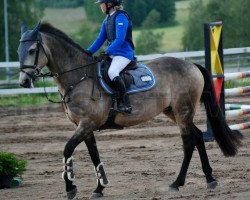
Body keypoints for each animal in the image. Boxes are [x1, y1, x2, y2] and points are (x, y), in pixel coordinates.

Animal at [18, 21, 242, 198]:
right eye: (19, 51)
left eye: (32, 51)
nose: (24, 81)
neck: (79, 77)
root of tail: (191, 65)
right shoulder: (84, 127)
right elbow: (94, 155)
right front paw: (99, 188)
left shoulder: (87, 124)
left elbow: (67, 149)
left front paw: (70, 188)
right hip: (174, 111)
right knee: (197, 136)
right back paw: (209, 178)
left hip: (183, 111)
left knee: (189, 142)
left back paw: (177, 183)